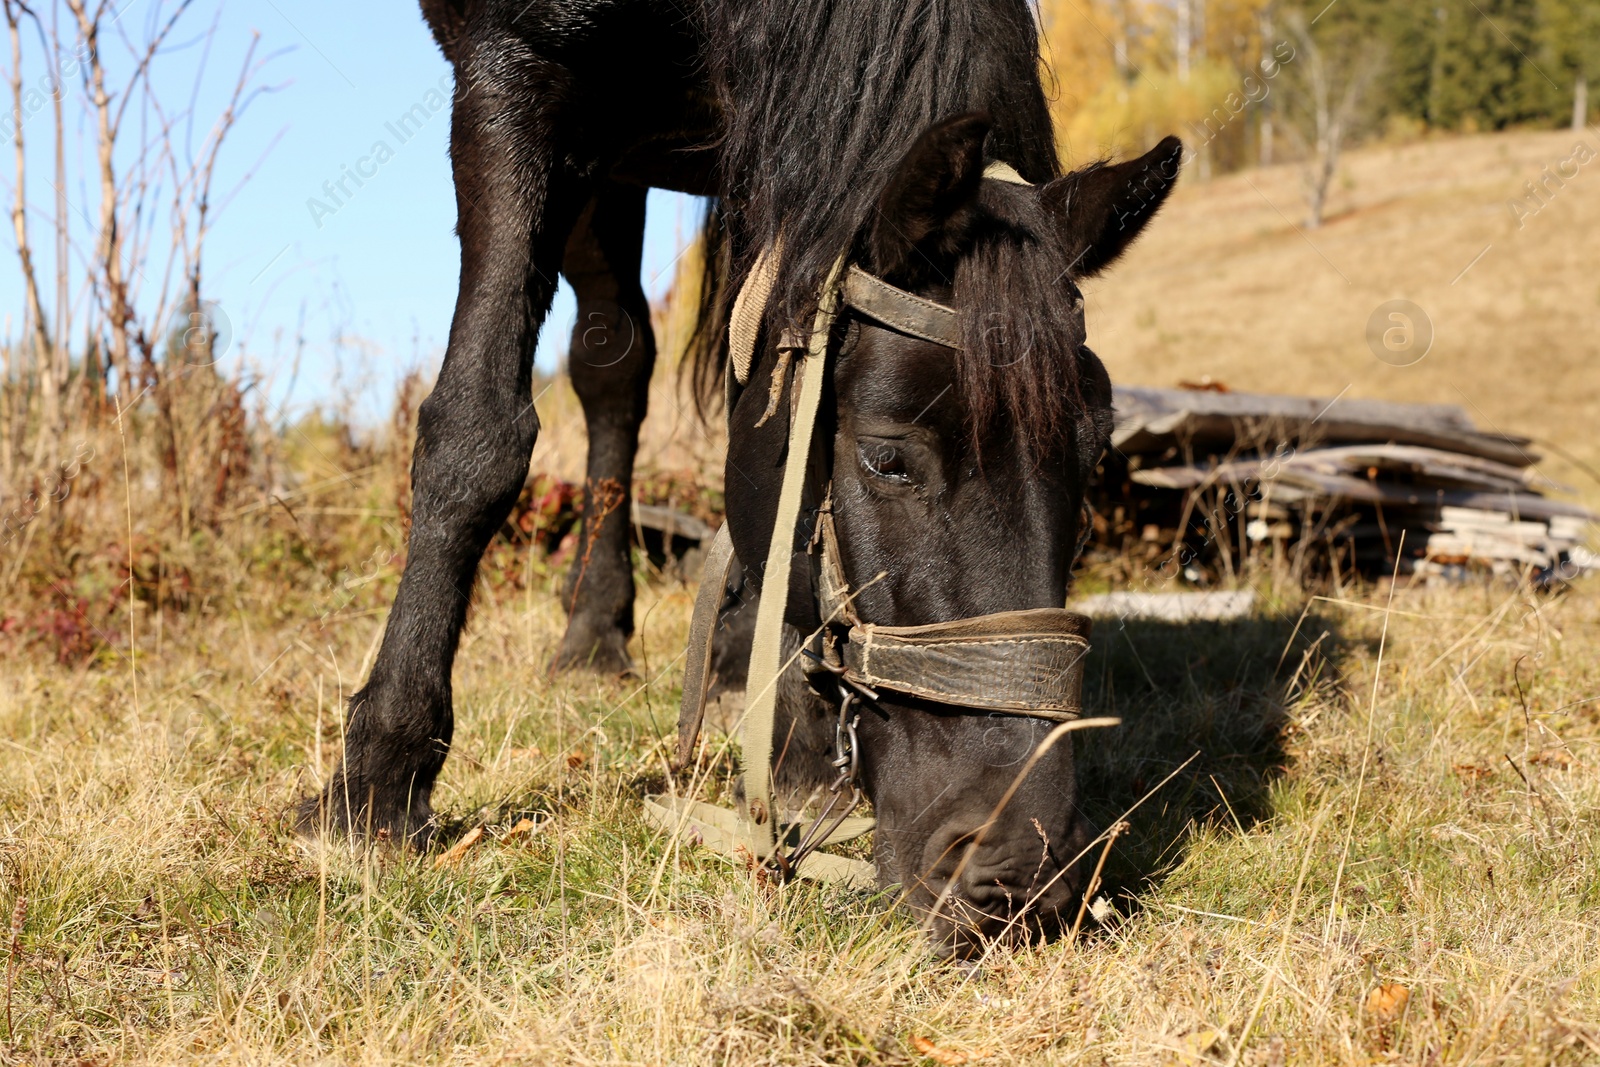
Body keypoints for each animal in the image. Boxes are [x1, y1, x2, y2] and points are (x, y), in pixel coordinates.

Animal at [302, 0, 1177, 953]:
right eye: (888, 457)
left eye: (1094, 457)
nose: (1026, 871)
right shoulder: (514, 74)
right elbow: (479, 432)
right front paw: (378, 774)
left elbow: (756, 403)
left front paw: (788, 732)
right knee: (609, 360)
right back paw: (592, 637)